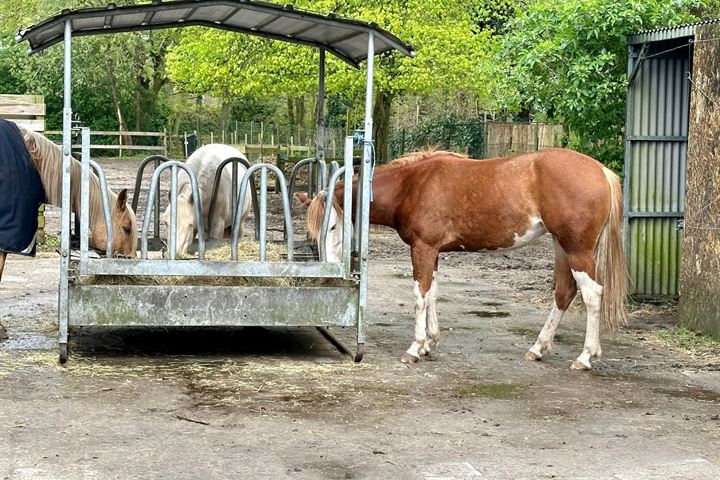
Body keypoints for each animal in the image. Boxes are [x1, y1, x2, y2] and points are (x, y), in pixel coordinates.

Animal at [298, 148, 624, 370]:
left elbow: (420, 295)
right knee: (564, 292)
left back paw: (585, 356)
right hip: (561, 246)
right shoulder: (433, 252)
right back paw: (539, 348)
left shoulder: (423, 248)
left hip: (577, 250)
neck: (412, 186)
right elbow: (432, 294)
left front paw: (415, 348)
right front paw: (430, 343)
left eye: (332, 226)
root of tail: (600, 171)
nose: (328, 272)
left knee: (592, 294)